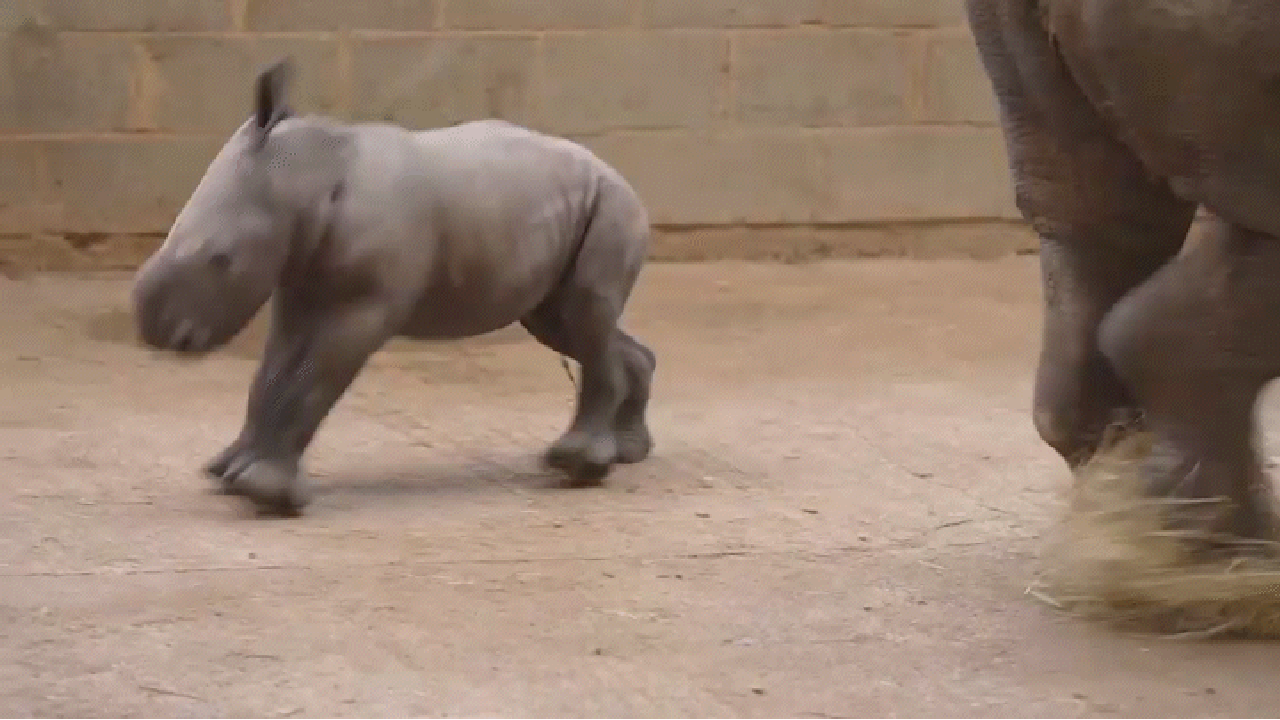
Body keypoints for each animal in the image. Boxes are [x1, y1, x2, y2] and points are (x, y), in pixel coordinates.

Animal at [132, 60, 657, 517]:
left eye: (221, 260)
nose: (155, 331)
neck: (308, 177)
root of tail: (617, 173)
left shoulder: (364, 308)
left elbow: (312, 381)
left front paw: (266, 493)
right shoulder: (298, 286)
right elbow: (269, 375)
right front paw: (227, 471)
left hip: (612, 208)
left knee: (585, 317)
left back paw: (577, 465)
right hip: (564, 212)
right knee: (564, 323)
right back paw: (629, 454)